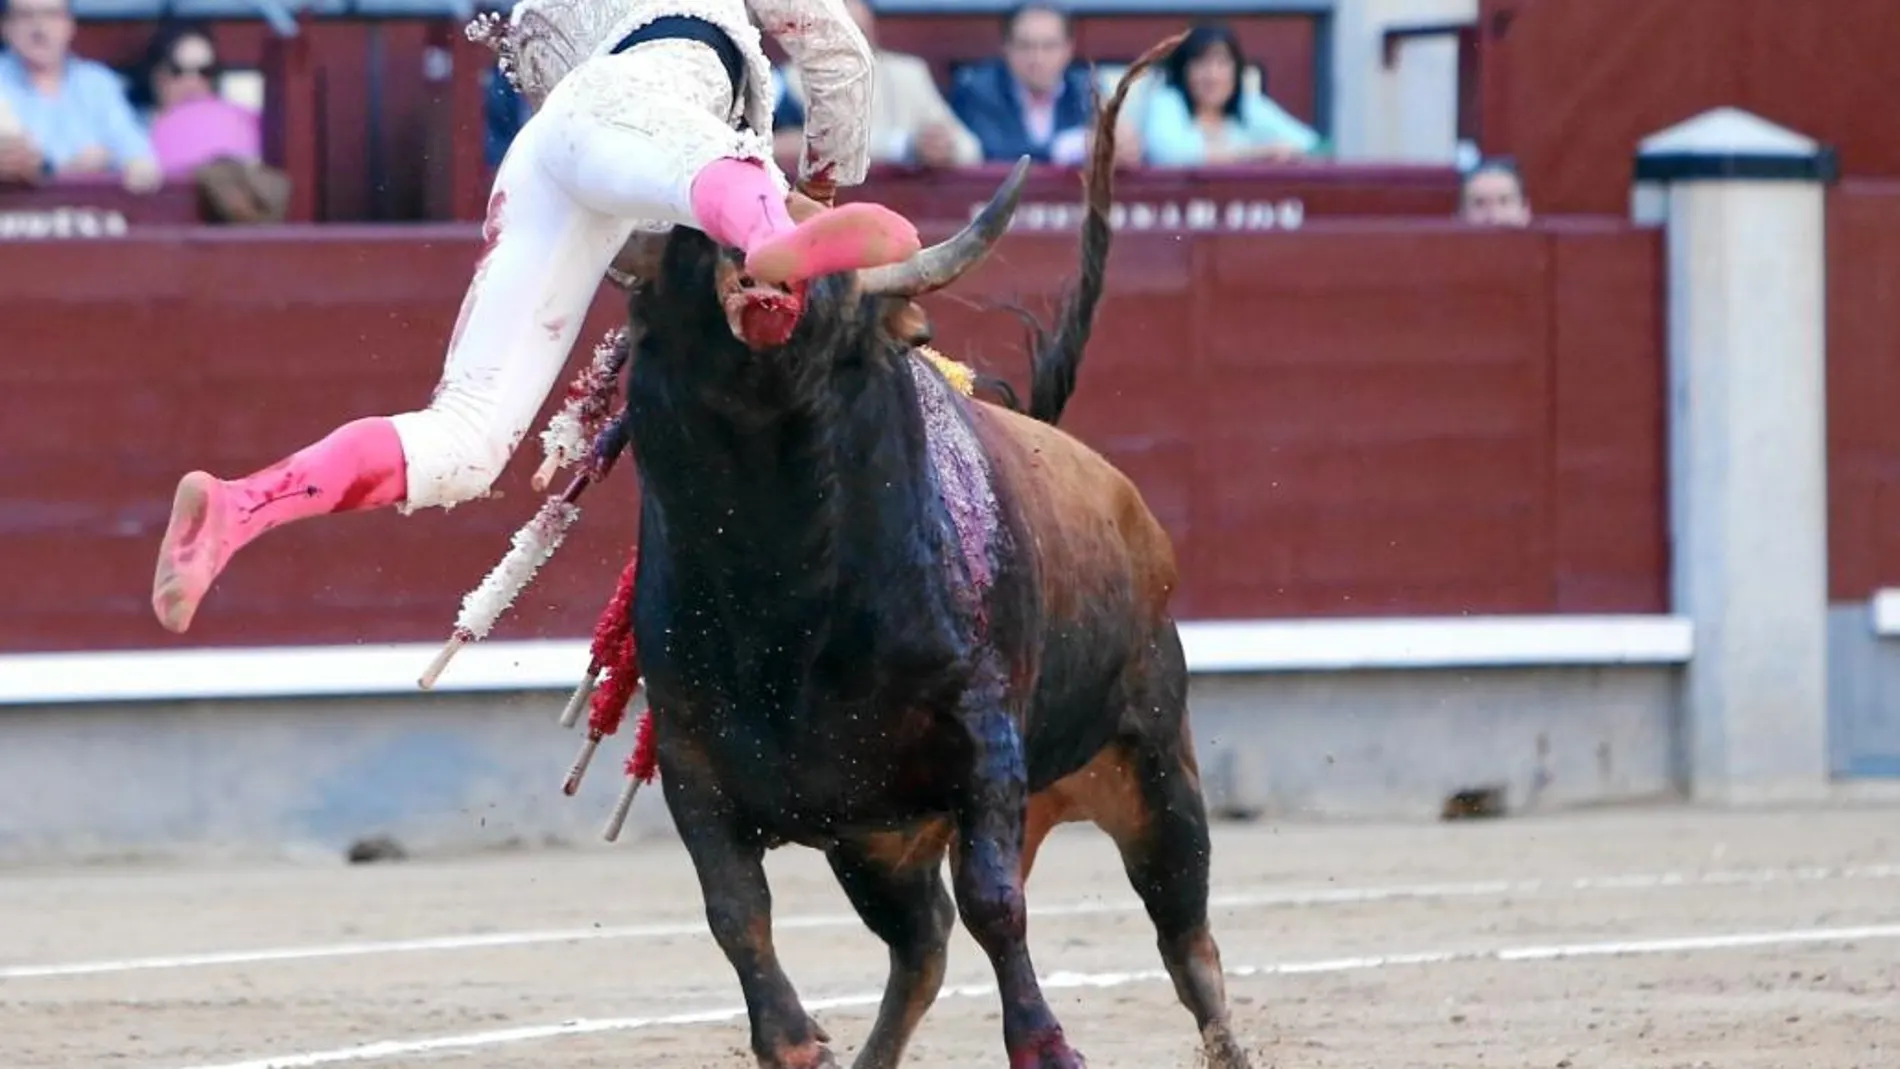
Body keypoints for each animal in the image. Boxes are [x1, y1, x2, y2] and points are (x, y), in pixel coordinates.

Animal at [623, 33, 1246, 1069]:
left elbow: (1000, 905)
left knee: (1185, 937)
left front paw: (1046, 1044)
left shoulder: (983, 736)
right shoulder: (691, 758)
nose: (764, 253)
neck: (781, 580)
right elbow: (734, 911)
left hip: (1156, 764)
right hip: (876, 840)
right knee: (921, 946)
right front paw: (792, 1040)